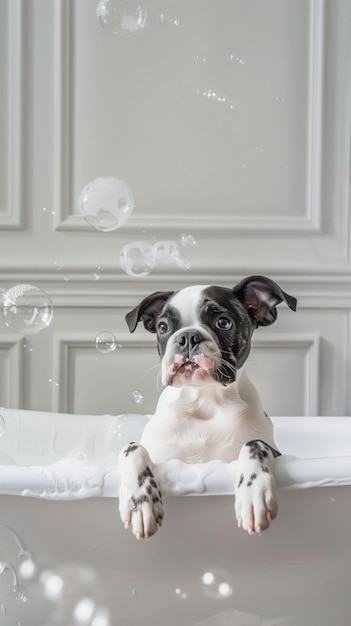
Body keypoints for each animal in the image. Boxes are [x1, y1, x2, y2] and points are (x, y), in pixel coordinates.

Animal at [118, 274, 296, 536]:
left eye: (223, 323)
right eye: (163, 327)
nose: (187, 337)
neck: (204, 401)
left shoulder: (272, 448)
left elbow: (255, 444)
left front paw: (253, 490)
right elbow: (132, 448)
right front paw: (139, 500)